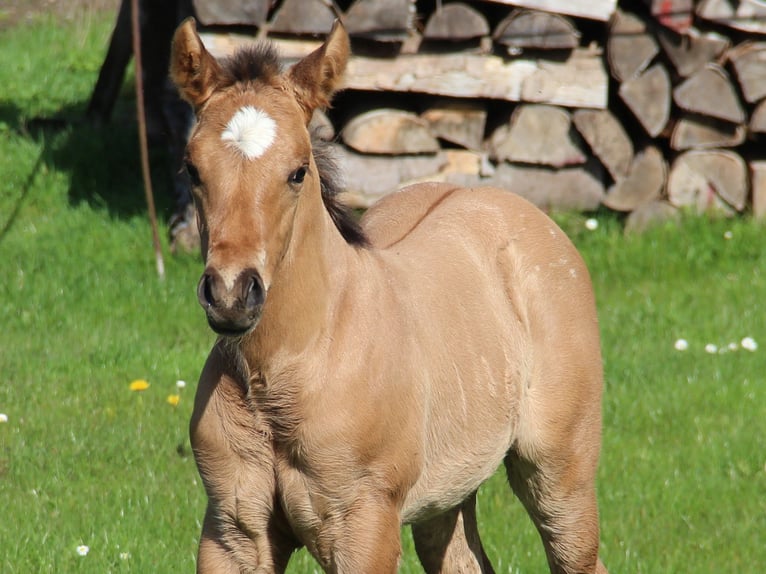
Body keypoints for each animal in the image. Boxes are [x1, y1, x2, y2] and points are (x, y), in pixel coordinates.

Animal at [172, 18, 612, 574]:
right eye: (192, 169)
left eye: (298, 171)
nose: (231, 294)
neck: (290, 374)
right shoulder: (232, 531)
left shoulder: (364, 527)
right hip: (447, 491)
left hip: (559, 473)